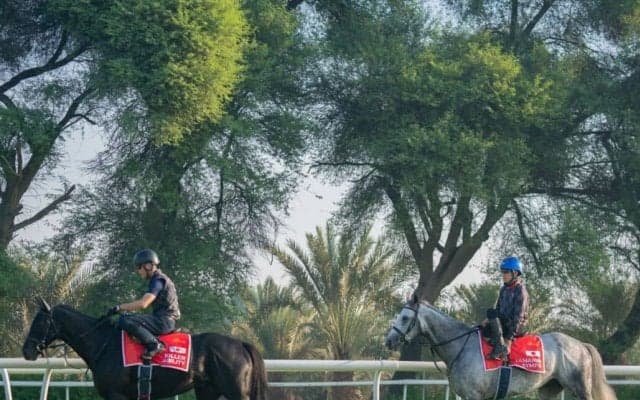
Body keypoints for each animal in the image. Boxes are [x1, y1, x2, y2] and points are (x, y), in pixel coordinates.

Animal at [22, 299, 268, 400]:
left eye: (40, 322)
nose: (26, 351)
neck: (103, 343)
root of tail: (240, 344)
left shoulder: (117, 395)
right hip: (207, 390)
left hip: (236, 392)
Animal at [385, 295, 616, 400]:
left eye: (404, 317)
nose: (389, 341)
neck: (461, 347)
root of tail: (581, 345)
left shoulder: (474, 396)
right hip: (549, 388)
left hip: (580, 388)